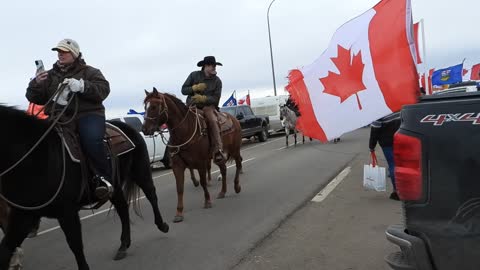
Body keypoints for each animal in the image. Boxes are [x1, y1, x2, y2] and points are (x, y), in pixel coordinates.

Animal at [0, 106, 170, 270]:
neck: (37, 156)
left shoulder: (67, 212)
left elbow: (75, 245)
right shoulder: (23, 216)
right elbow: (6, 248)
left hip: (140, 171)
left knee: (151, 195)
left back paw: (162, 225)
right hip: (114, 186)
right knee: (122, 208)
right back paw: (123, 246)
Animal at [141, 87, 242, 223]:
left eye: (154, 106)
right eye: (145, 106)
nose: (144, 129)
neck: (184, 131)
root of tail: (234, 119)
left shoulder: (200, 163)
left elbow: (203, 182)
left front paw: (207, 201)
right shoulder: (177, 166)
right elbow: (179, 188)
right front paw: (179, 212)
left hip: (235, 150)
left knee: (238, 164)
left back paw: (237, 187)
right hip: (219, 156)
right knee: (224, 169)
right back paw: (222, 192)